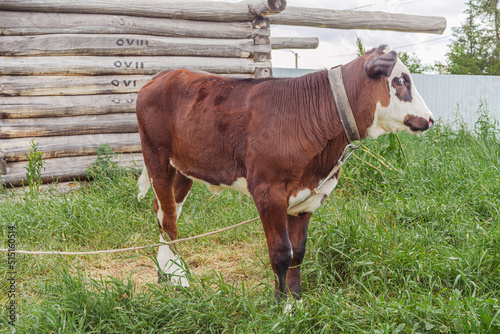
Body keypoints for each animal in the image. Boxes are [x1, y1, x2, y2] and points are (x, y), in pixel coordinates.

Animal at [136, 45, 434, 302]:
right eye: (400, 81)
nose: (430, 119)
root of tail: (167, 74)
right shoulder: (269, 192)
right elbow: (281, 253)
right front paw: (283, 307)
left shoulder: (309, 197)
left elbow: (298, 253)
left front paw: (298, 300)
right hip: (156, 158)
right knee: (169, 219)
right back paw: (179, 278)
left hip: (184, 167)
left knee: (164, 210)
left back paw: (166, 274)